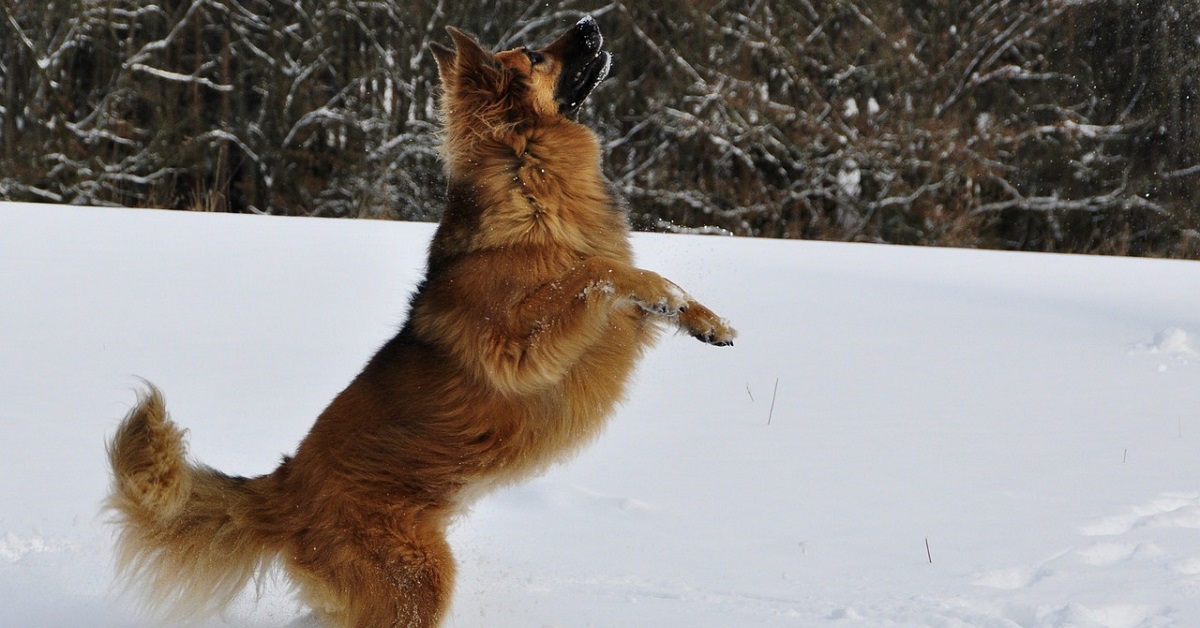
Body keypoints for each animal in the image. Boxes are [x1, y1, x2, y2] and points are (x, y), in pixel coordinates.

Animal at [108, 15, 734, 628]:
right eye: (535, 55)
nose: (589, 22)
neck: (525, 172)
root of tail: (282, 489)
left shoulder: (612, 324)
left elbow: (634, 281)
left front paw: (707, 319)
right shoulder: (517, 348)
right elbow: (600, 271)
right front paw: (666, 293)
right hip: (416, 581)